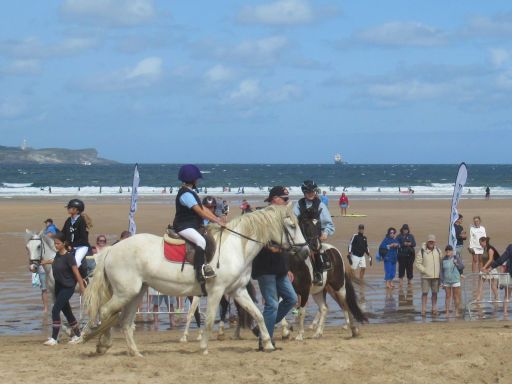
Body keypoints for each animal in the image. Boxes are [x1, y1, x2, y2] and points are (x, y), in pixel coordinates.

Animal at [78, 204, 306, 356]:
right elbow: (209, 319)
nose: (304, 251)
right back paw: (102, 344)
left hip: (137, 292)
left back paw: (134, 352)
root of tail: (111, 249)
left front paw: (267, 343)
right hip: (126, 292)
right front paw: (204, 347)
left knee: (124, 322)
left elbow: (258, 315)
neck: (236, 246)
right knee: (106, 312)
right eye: (292, 226)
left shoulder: (238, 291)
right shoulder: (216, 291)